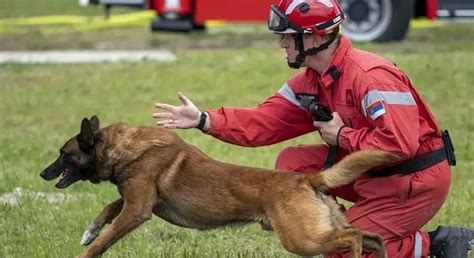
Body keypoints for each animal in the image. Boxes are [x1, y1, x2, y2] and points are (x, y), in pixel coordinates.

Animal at [40, 116, 398, 256]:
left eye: (64, 155)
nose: (43, 173)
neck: (123, 147)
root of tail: (307, 179)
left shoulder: (138, 209)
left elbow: (105, 239)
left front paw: (89, 246)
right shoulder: (137, 200)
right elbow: (108, 209)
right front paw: (90, 230)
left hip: (301, 239)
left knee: (354, 237)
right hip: (317, 231)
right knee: (372, 237)